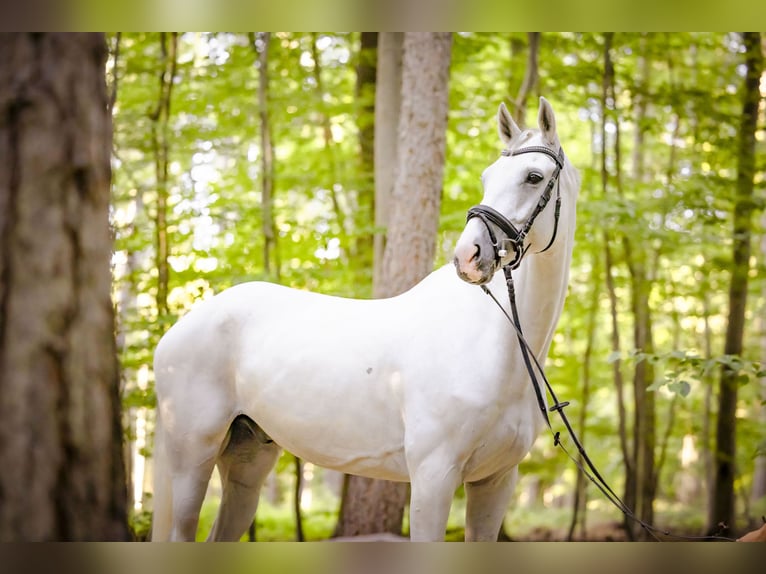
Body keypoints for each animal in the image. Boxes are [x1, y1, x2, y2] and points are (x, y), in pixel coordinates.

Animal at [150, 97, 580, 542]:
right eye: (487, 176)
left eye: (533, 176)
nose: (468, 255)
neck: (494, 350)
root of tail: (176, 332)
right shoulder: (433, 477)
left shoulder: (495, 482)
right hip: (192, 460)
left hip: (247, 464)